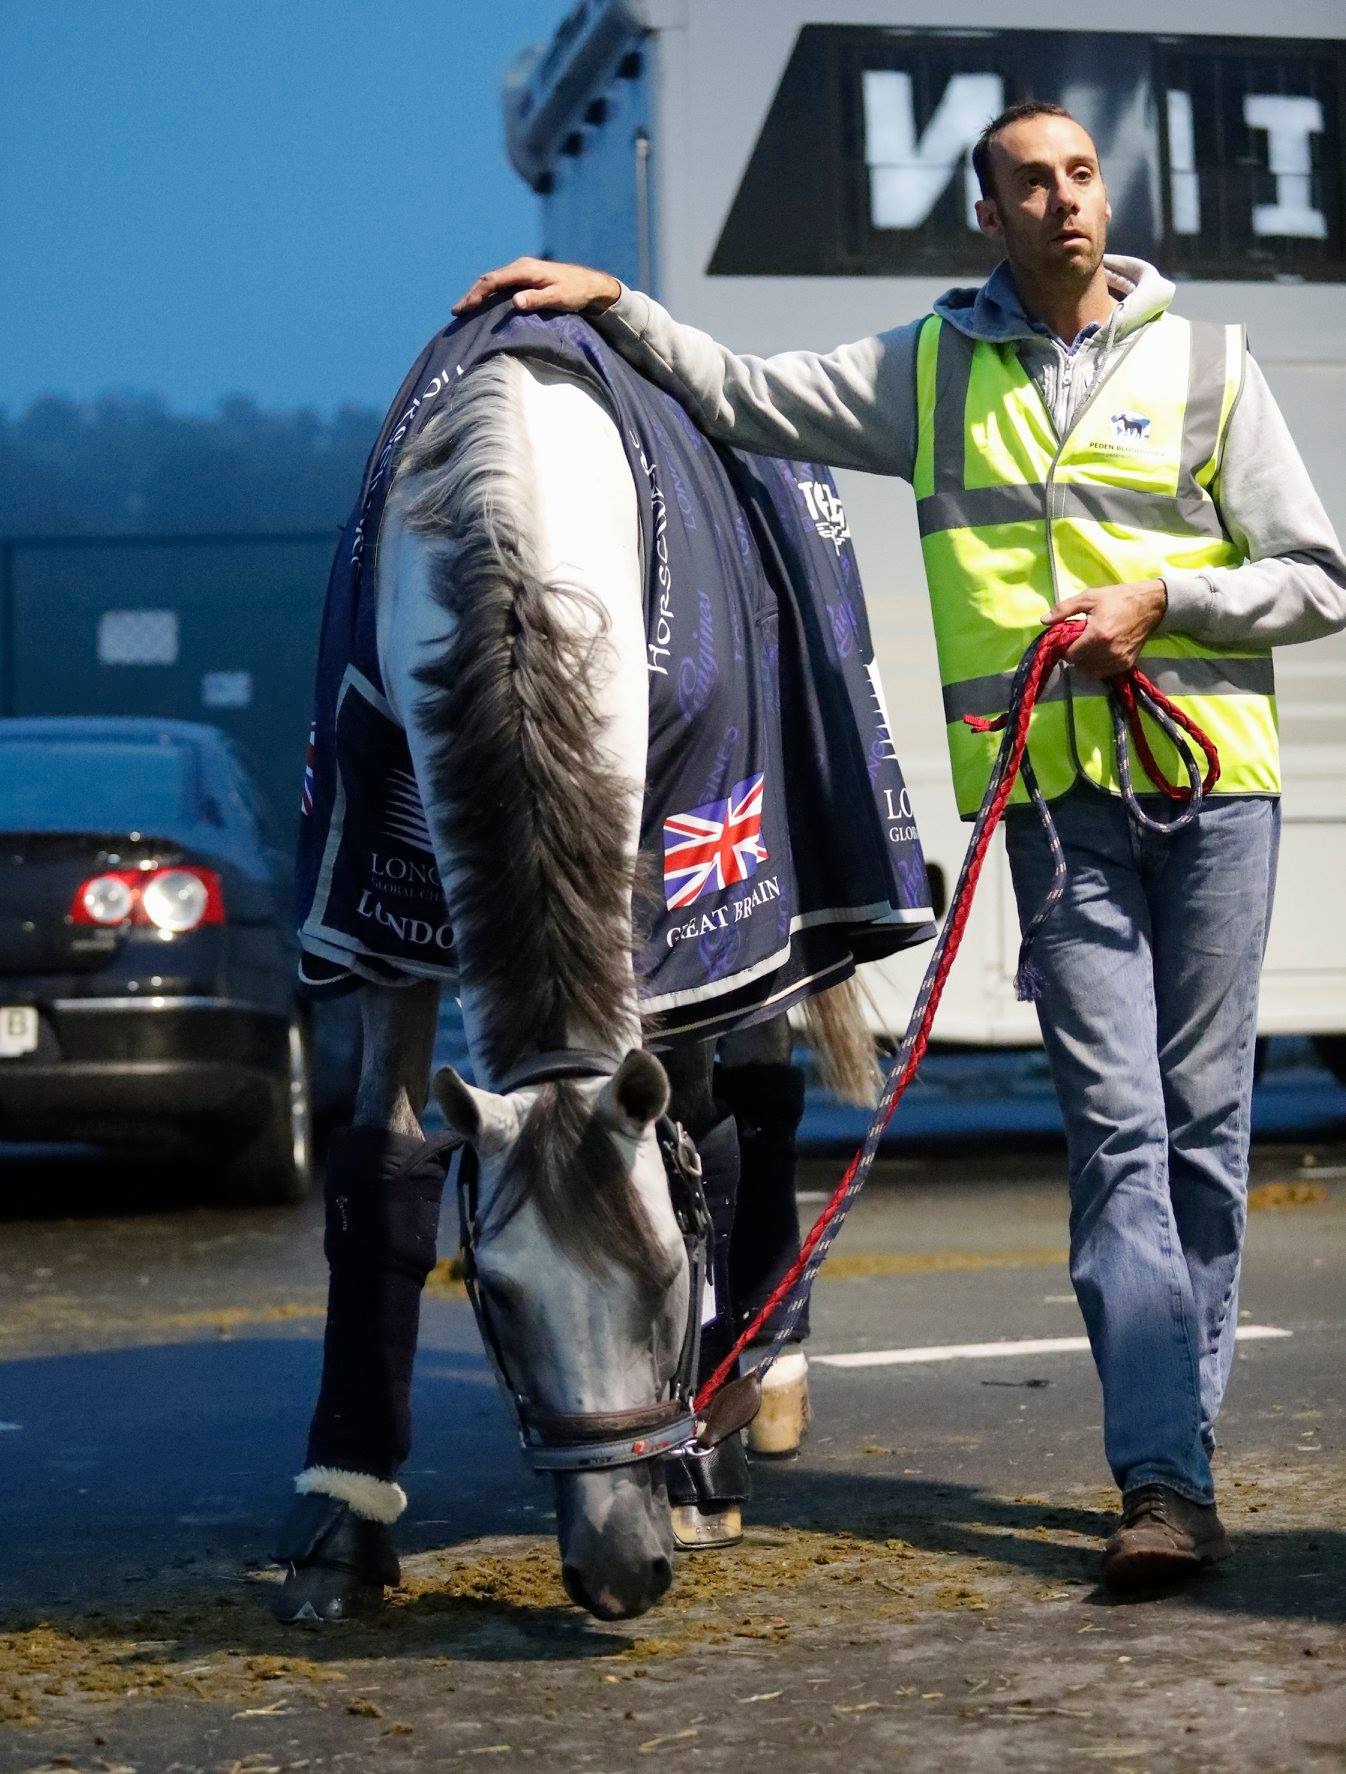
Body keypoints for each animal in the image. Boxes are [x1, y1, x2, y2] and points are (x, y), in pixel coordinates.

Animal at [273, 307, 931, 1623]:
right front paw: (344, 1516)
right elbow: (381, 1171)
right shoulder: (381, 907)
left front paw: (700, 1467)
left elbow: (699, 1142)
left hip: (764, 933)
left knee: (754, 1110)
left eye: (667, 1281)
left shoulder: (695, 903)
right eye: (498, 1293)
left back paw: (756, 1387)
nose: (618, 1569)